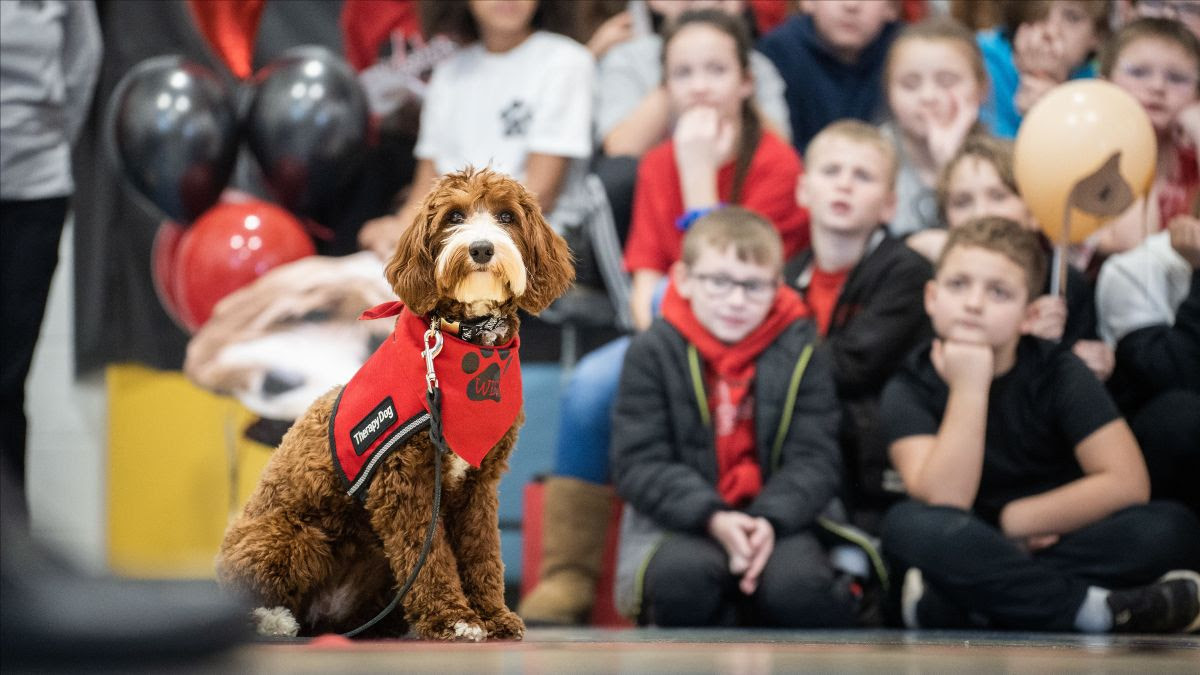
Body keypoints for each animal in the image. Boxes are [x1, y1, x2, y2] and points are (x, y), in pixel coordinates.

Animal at [218, 166, 573, 634]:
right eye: (455, 216)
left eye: (506, 217)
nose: (481, 248)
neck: (462, 343)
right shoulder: (405, 483)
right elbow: (428, 554)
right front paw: (452, 618)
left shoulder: (478, 485)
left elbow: (483, 553)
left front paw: (493, 614)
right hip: (294, 536)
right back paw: (271, 620)